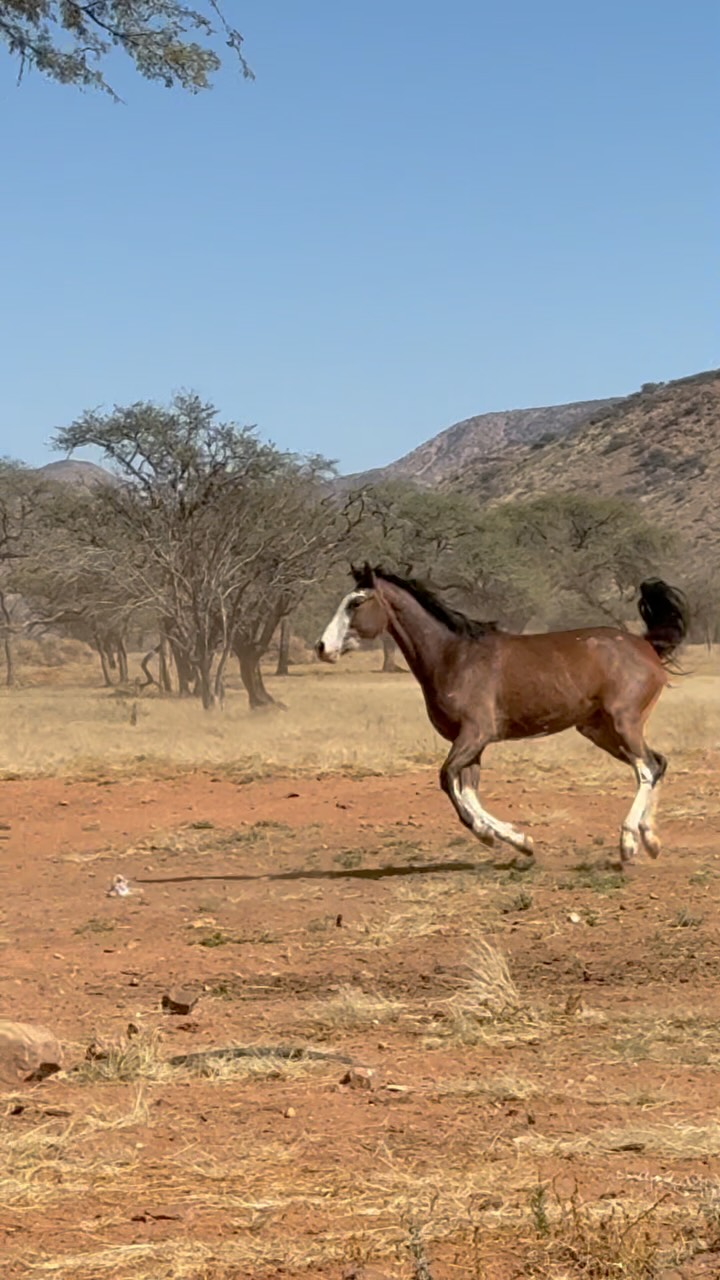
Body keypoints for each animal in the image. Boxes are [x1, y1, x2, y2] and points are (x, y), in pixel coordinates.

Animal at [315, 566, 689, 866]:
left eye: (356, 603)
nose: (322, 648)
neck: (454, 656)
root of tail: (646, 645)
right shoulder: (472, 744)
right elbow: (467, 790)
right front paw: (518, 840)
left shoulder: (474, 734)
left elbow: (447, 780)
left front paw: (490, 834)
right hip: (599, 730)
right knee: (658, 763)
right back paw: (650, 840)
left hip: (623, 724)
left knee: (646, 768)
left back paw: (628, 843)